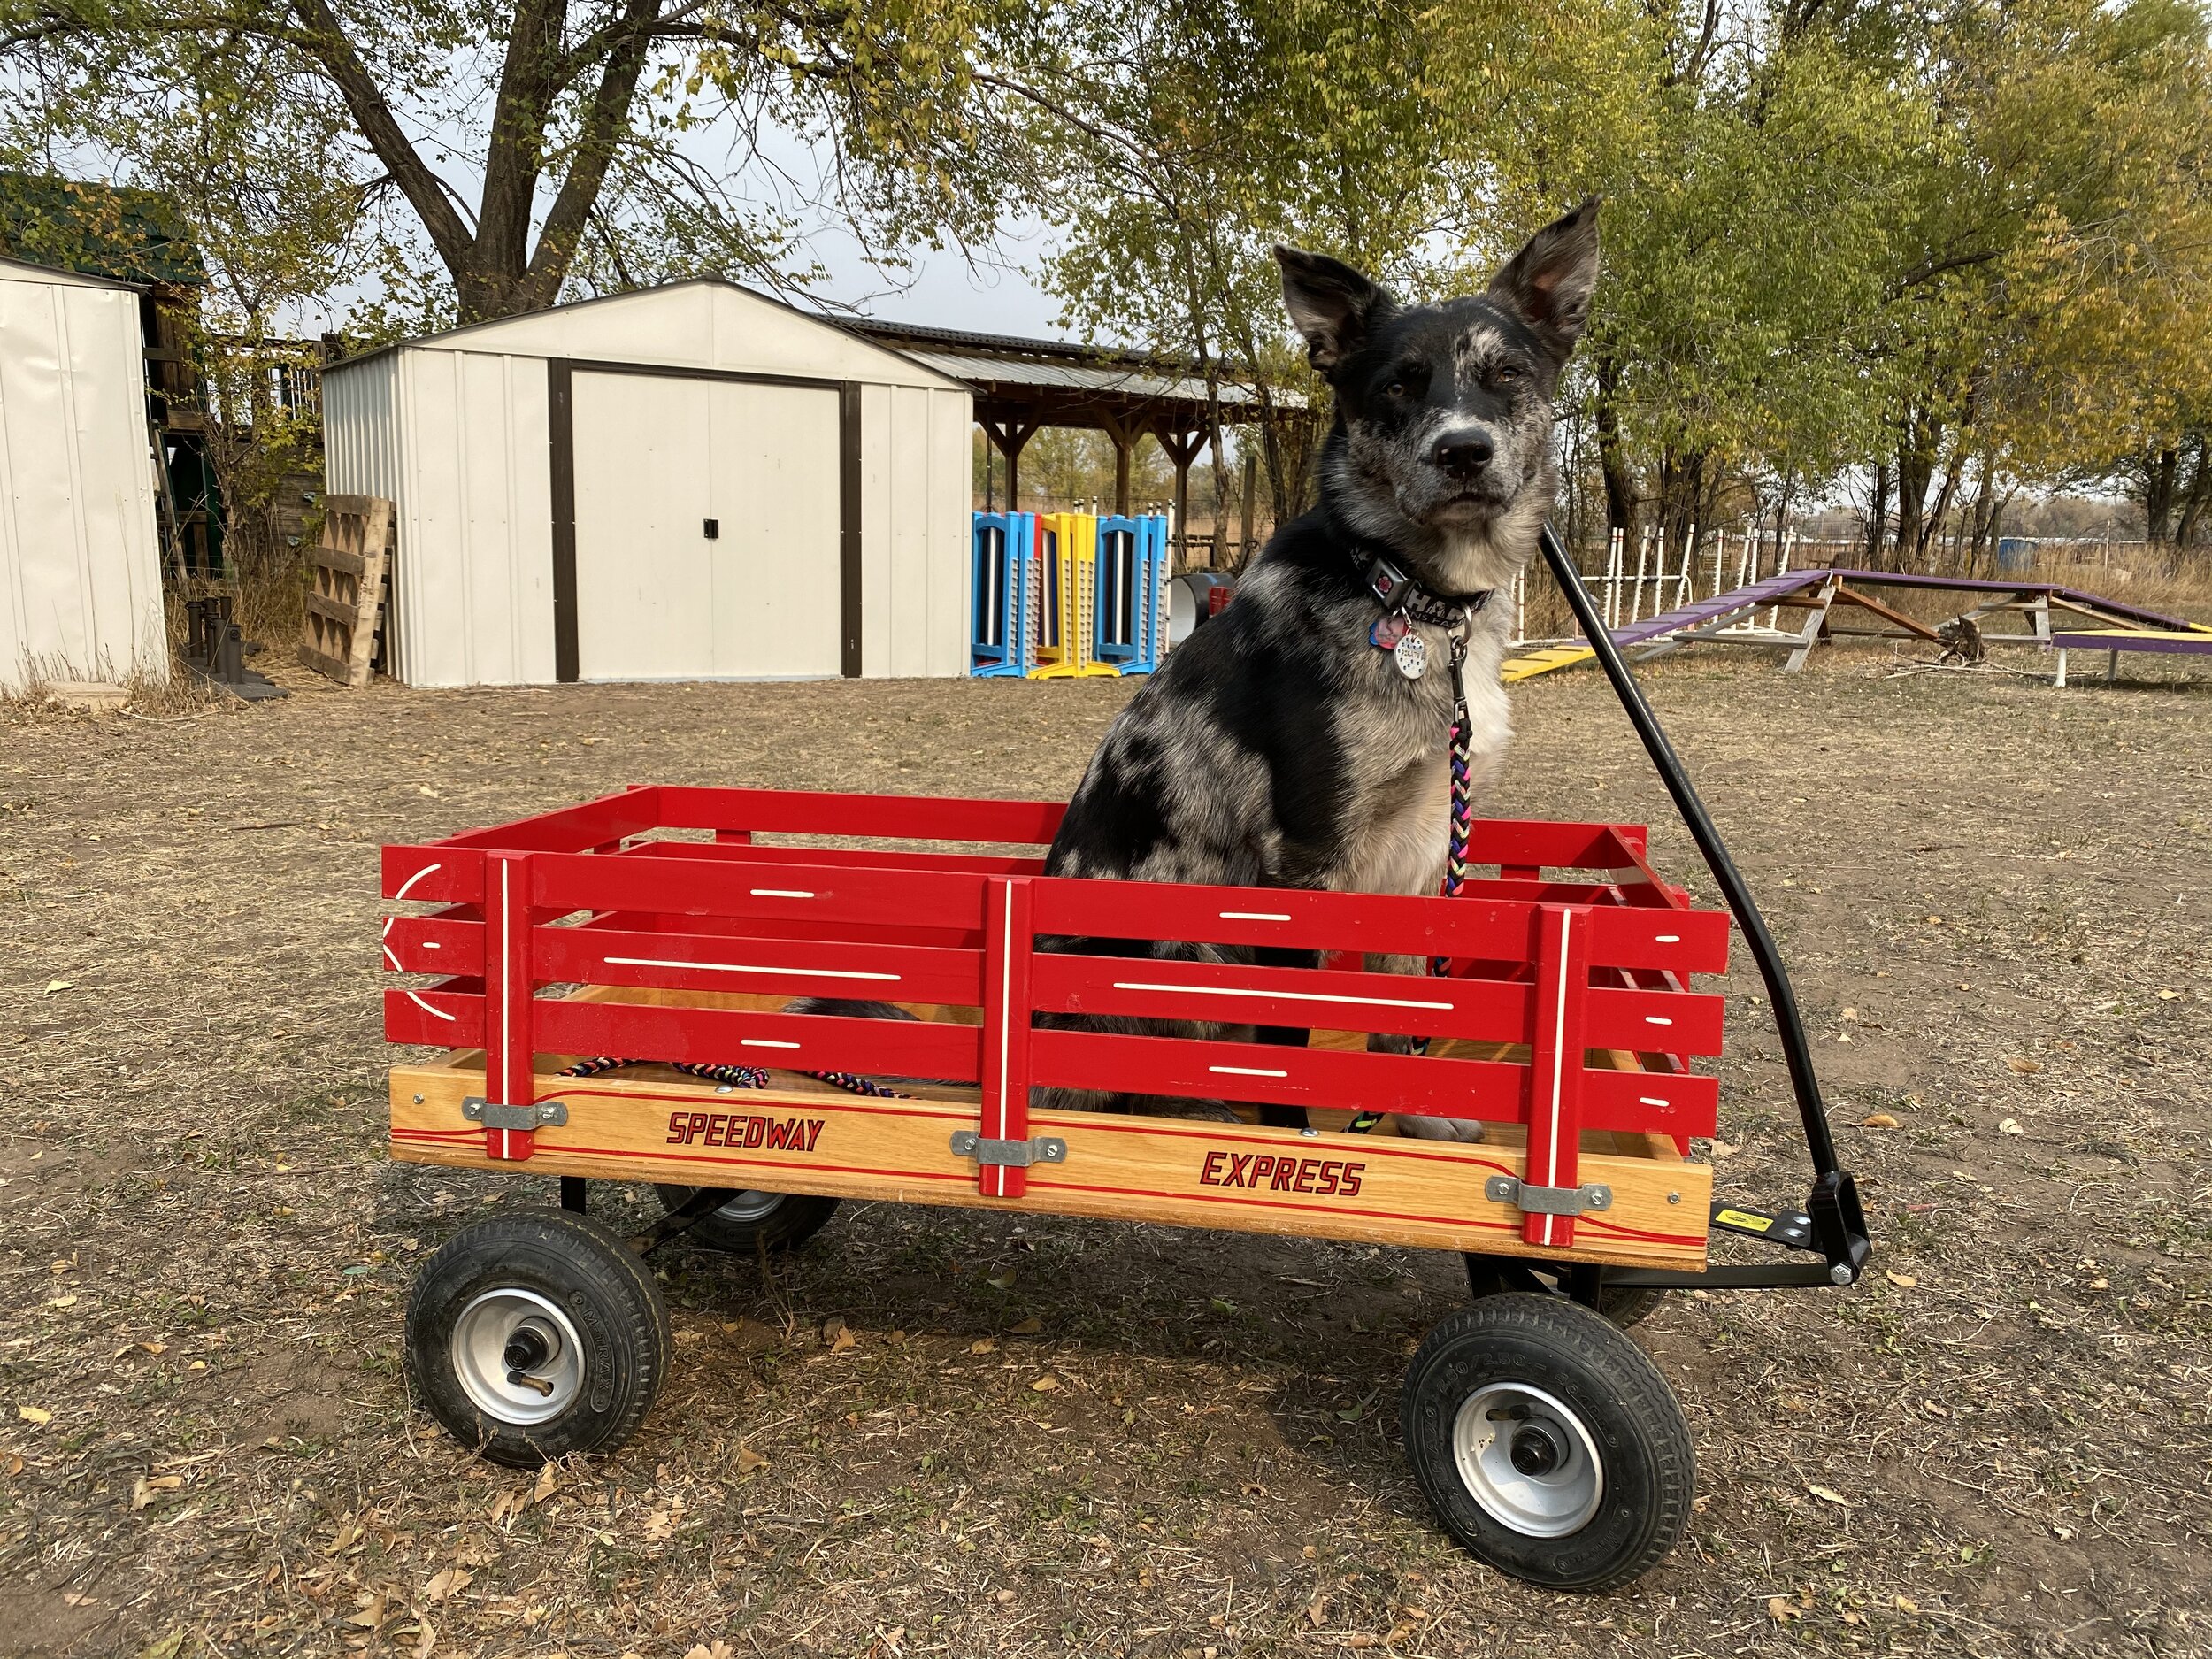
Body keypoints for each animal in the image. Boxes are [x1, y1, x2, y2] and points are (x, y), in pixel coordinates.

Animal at [1036, 200, 1602, 1138]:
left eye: (1506, 374)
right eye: (1399, 386)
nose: (1463, 451)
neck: (1411, 596)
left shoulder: (1419, 853)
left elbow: (1403, 1012)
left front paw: (1415, 1121)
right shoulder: (1303, 862)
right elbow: (1290, 1043)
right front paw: (1295, 1142)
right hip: (1176, 951)